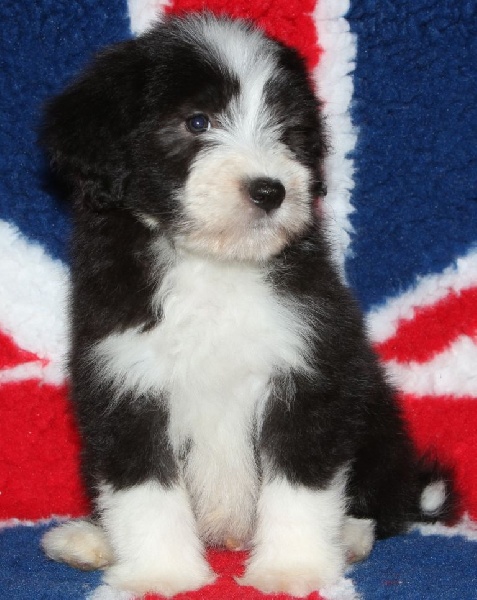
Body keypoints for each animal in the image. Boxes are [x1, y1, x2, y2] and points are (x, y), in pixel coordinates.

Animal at [40, 13, 455, 598]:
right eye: (197, 122)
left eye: (286, 130)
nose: (270, 190)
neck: (216, 266)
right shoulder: (126, 380)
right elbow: (145, 489)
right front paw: (161, 573)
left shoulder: (309, 369)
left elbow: (300, 483)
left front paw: (292, 569)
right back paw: (90, 541)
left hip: (376, 417)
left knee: (385, 501)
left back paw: (351, 534)